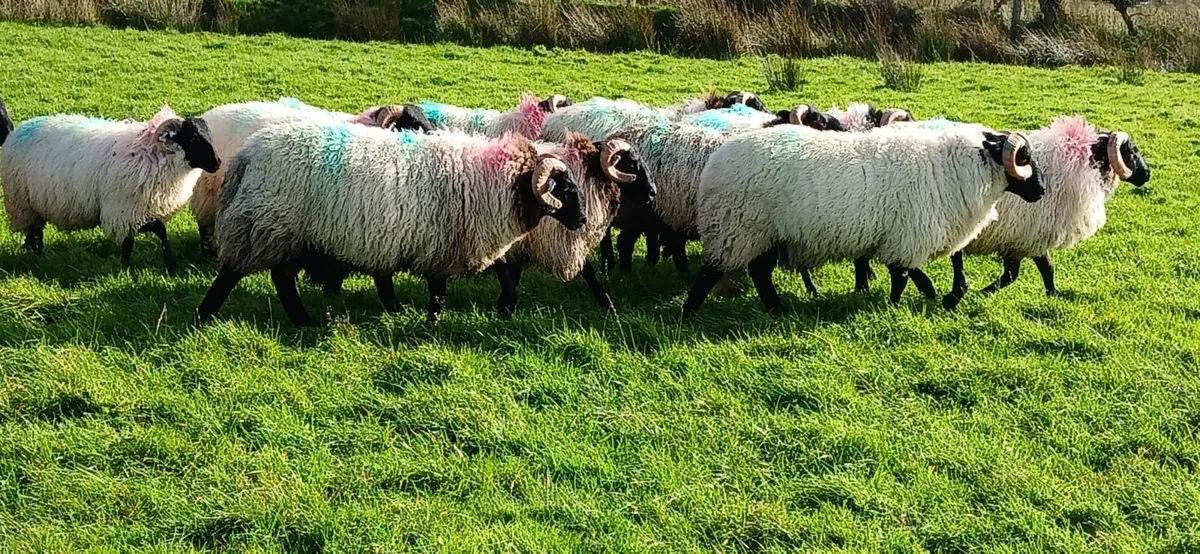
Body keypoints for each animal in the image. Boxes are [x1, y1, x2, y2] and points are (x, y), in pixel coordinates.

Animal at [2, 105, 220, 273]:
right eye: (192, 138)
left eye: (208, 135)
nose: (218, 163)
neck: (151, 154)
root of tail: (20, 129)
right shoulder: (122, 211)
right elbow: (159, 229)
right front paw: (169, 263)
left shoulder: (133, 212)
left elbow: (131, 241)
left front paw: (125, 266)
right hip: (24, 204)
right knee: (36, 233)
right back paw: (40, 257)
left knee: (33, 232)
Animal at [196, 123, 588, 327]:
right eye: (564, 188)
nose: (582, 220)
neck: (486, 181)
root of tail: (248, 154)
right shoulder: (439, 247)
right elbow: (438, 290)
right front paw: (432, 323)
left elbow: (499, 269)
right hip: (267, 224)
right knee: (237, 272)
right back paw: (207, 314)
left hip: (291, 233)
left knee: (281, 278)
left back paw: (301, 319)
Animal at [681, 123, 1045, 318]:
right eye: (1023, 158)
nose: (1041, 191)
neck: (959, 169)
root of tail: (714, 163)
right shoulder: (906, 236)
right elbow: (904, 275)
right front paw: (907, 302)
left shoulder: (898, 237)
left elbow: (904, 273)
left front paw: (923, 297)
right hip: (737, 227)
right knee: (711, 271)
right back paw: (688, 314)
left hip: (765, 234)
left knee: (759, 273)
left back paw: (776, 310)